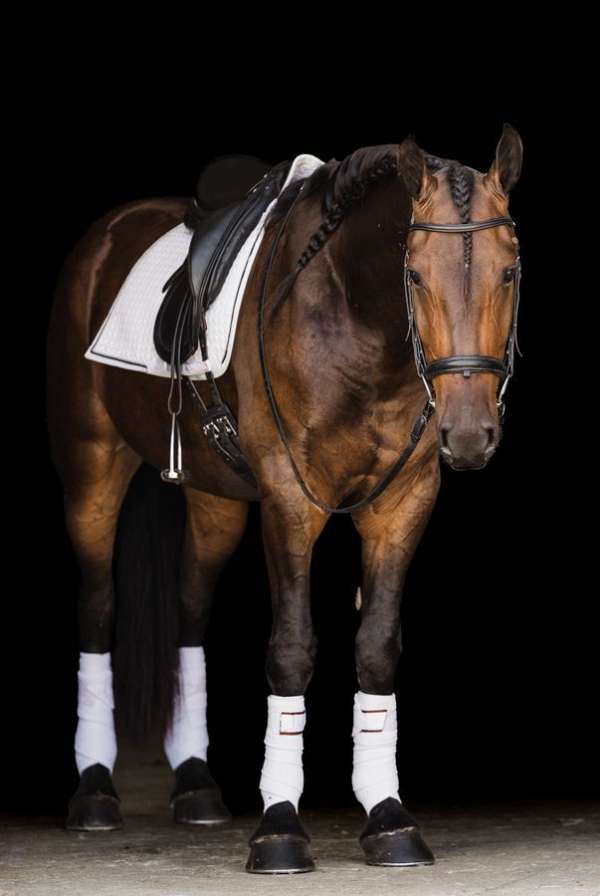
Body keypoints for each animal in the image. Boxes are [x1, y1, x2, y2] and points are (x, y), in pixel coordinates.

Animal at [46, 124, 523, 873]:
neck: (356, 321)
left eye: (509, 271)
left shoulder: (404, 502)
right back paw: (94, 792)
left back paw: (196, 786)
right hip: (92, 466)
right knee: (97, 608)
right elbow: (293, 650)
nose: (471, 433)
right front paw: (279, 827)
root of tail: (109, 233)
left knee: (189, 606)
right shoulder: (291, 500)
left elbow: (377, 648)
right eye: (415, 273)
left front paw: (388, 817)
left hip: (213, 499)